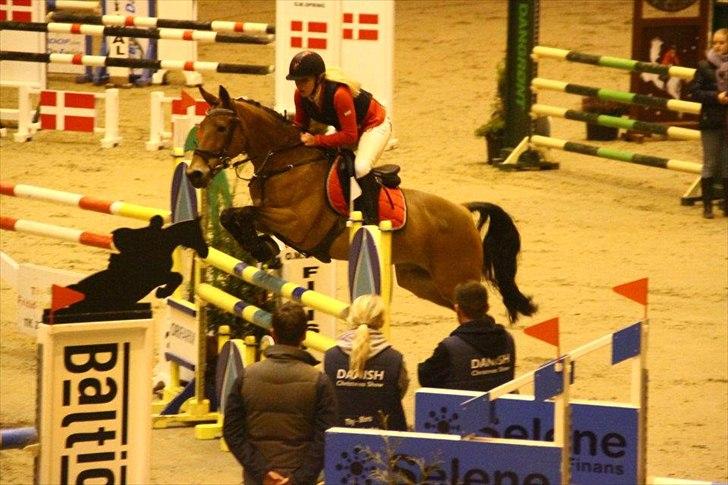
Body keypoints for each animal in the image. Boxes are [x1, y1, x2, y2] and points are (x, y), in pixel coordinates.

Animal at [186, 85, 536, 322]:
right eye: (200, 128)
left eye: (221, 128)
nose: (195, 174)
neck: (286, 161)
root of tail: (463, 210)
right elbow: (234, 216)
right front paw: (265, 249)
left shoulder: (297, 225)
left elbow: (242, 213)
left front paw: (264, 249)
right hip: (419, 280)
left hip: (454, 276)